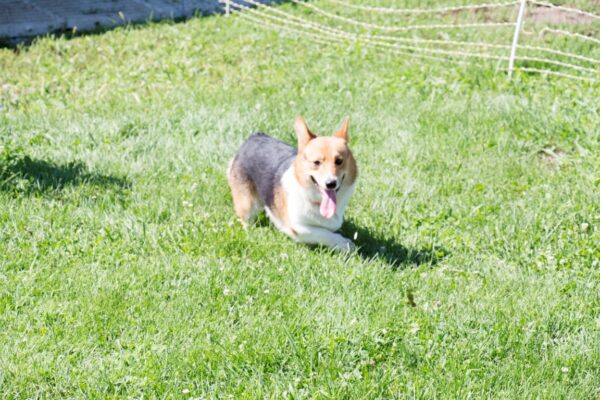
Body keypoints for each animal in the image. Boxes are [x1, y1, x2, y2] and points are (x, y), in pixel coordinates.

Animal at [225, 116, 356, 250]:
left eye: (339, 161)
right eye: (316, 162)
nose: (331, 183)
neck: (315, 200)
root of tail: (254, 136)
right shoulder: (298, 228)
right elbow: (324, 233)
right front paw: (345, 244)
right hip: (247, 205)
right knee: (245, 219)